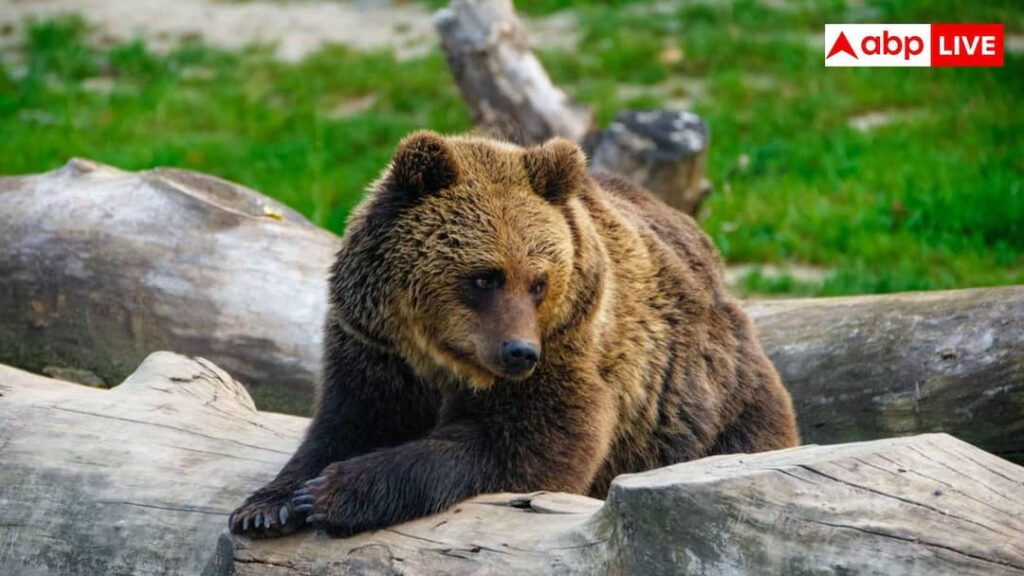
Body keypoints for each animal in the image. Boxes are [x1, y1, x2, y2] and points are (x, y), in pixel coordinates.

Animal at [228, 131, 798, 538]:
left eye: (539, 281)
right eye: (484, 277)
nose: (519, 351)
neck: (443, 359)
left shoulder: (572, 348)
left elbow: (527, 445)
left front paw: (336, 491)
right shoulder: (376, 347)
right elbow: (345, 421)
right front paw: (268, 505)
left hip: (704, 405)